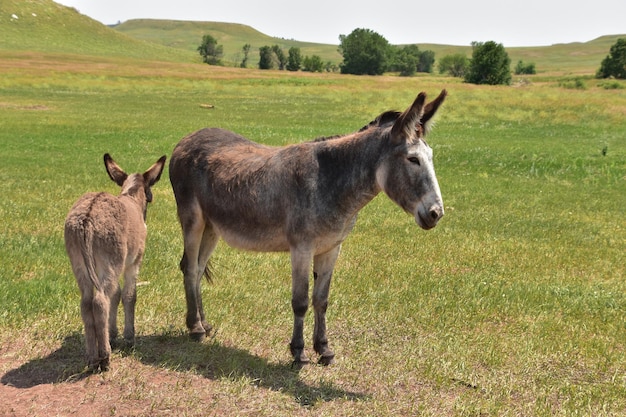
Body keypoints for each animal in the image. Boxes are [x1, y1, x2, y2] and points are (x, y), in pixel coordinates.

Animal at [64, 154, 165, 370]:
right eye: (150, 195)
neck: (131, 196)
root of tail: (87, 218)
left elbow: (116, 295)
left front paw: (113, 334)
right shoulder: (133, 262)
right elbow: (129, 295)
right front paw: (128, 337)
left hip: (80, 264)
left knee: (87, 302)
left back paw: (92, 357)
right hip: (110, 262)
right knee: (100, 301)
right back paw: (104, 358)